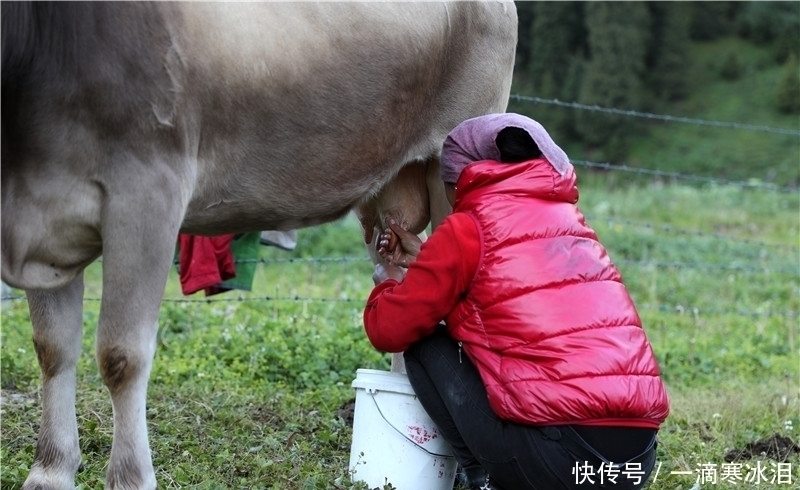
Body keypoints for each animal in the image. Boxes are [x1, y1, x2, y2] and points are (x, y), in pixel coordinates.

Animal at [1, 1, 520, 488]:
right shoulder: (43, 219)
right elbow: (52, 347)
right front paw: (49, 472)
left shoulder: (148, 190)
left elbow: (120, 356)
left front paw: (129, 479)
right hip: (386, 194)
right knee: (402, 287)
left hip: (455, 157)